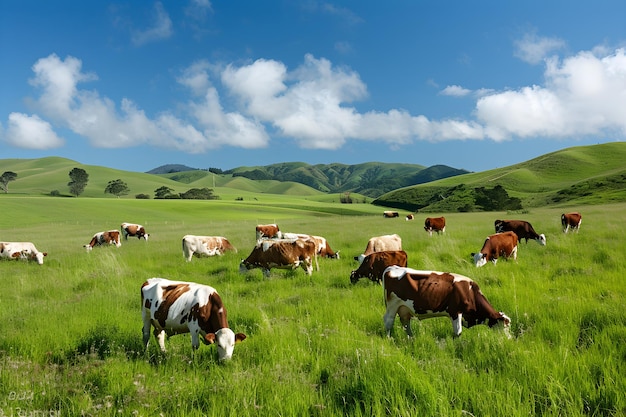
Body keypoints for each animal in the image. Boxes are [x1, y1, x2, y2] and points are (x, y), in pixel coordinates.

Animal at [380, 266, 508, 338]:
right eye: (504, 326)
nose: (508, 339)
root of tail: (391, 268)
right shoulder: (455, 312)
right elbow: (457, 333)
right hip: (392, 306)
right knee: (388, 321)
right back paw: (389, 338)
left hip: (404, 309)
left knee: (406, 323)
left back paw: (411, 338)